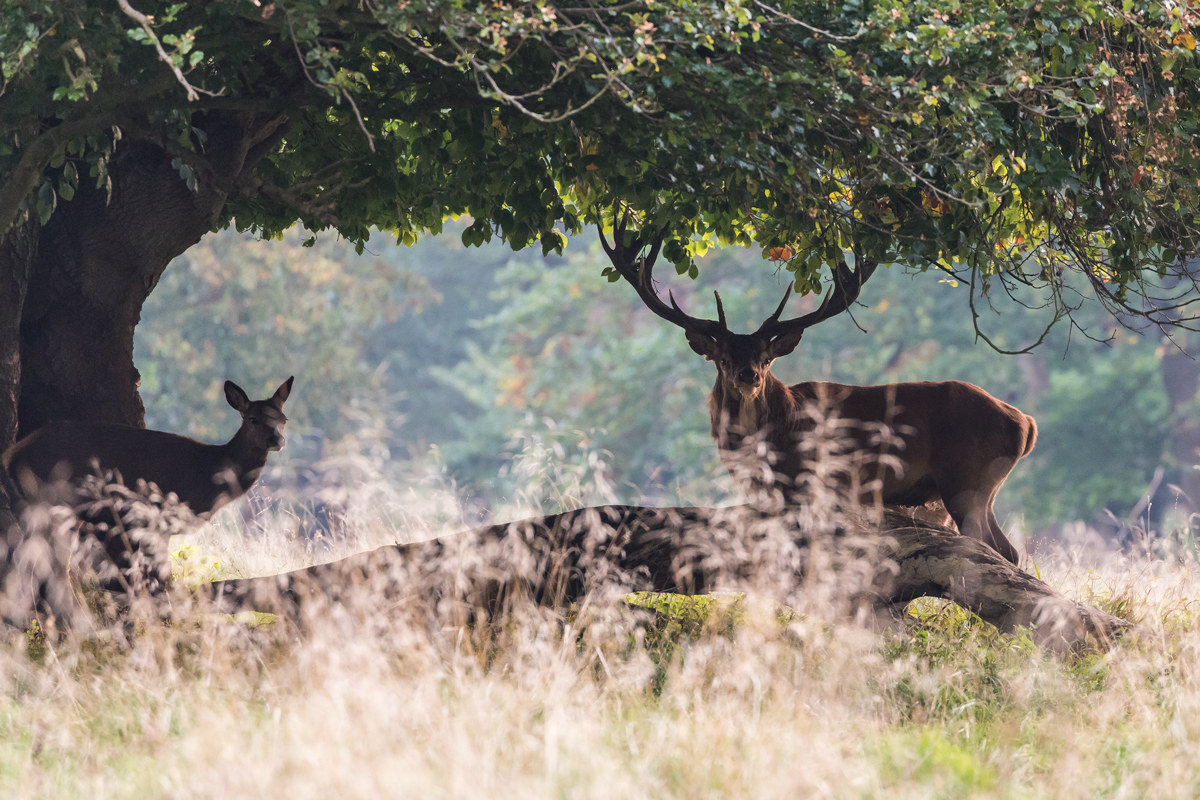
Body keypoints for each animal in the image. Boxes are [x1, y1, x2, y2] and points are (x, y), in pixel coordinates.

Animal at [599, 217, 1035, 565]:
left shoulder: (807, 485)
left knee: (996, 549)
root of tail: (1025, 423)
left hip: (967, 480)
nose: (748, 375)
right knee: (1007, 550)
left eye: (766, 357)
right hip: (980, 488)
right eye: (721, 357)